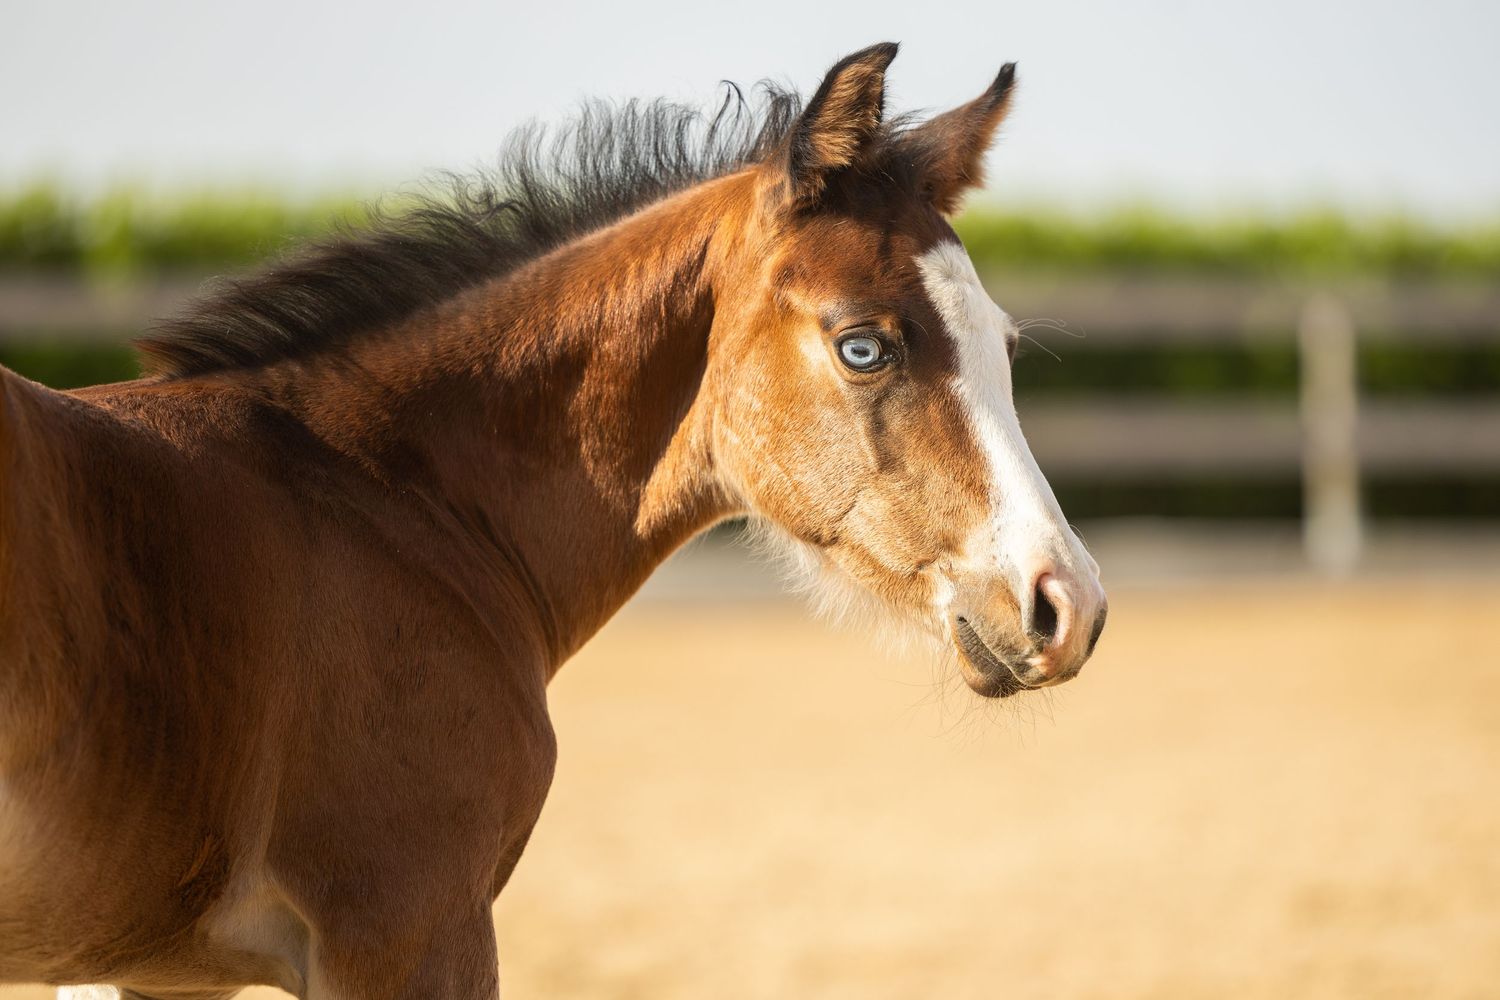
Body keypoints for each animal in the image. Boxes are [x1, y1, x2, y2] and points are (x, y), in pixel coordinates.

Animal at [0, 42, 1106, 999]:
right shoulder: (408, 929)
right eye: (864, 345)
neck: (391, 499)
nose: (1067, 605)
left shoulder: (139, 966)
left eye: (1004, 346)